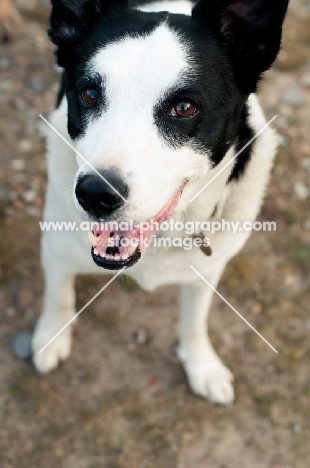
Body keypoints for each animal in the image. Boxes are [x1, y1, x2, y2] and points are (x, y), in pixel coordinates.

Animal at [32, 0, 290, 406]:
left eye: (184, 107)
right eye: (89, 94)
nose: (95, 194)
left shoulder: (208, 271)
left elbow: (195, 320)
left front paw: (201, 364)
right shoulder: (56, 247)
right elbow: (58, 295)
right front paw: (51, 336)